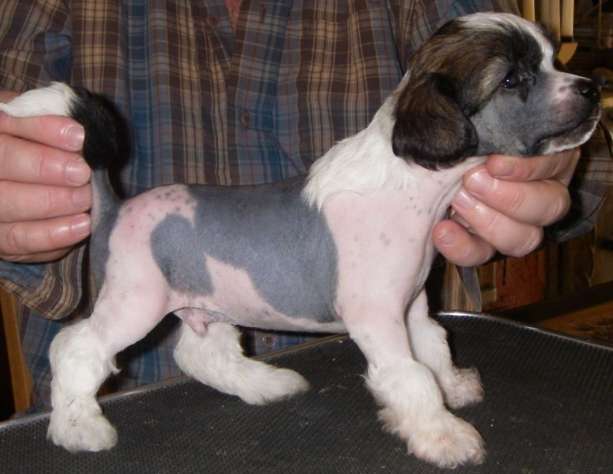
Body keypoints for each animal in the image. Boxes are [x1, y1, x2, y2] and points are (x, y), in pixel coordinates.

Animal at [0, 12, 600, 469]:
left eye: (551, 60)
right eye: (512, 80)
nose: (593, 88)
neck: (410, 184)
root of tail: (117, 206)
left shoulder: (411, 309)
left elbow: (432, 347)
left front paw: (451, 388)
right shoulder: (377, 320)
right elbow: (410, 375)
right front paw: (441, 434)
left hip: (208, 304)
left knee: (201, 353)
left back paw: (265, 384)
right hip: (135, 302)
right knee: (77, 349)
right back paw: (78, 426)